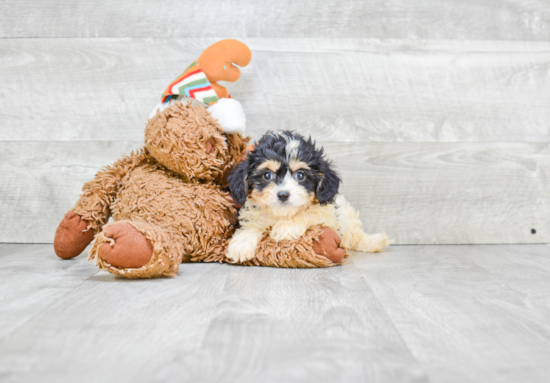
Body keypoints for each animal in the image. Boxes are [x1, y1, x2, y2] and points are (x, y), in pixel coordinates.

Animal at [229, 130, 392, 264]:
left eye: (300, 175)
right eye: (267, 175)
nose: (283, 194)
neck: (282, 214)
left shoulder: (327, 216)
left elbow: (310, 213)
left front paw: (285, 227)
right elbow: (252, 224)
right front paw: (241, 243)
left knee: (356, 236)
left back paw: (373, 242)